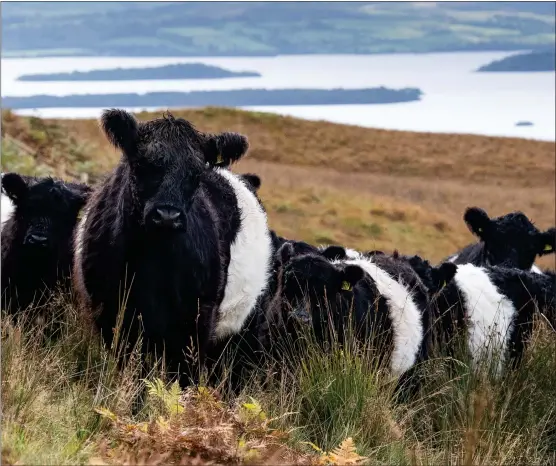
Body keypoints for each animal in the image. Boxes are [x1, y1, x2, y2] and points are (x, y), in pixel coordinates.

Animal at [73, 110, 272, 386]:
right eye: (141, 163)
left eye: (197, 173)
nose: (167, 216)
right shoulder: (110, 313)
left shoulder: (197, 320)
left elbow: (185, 376)